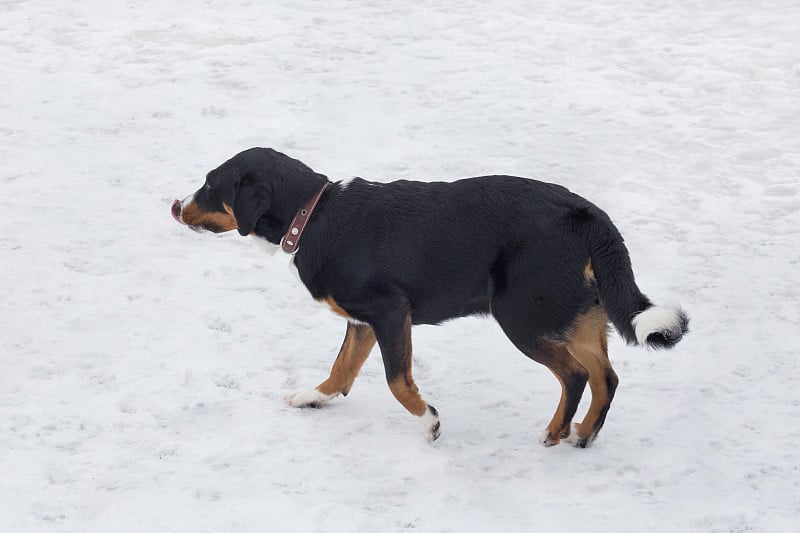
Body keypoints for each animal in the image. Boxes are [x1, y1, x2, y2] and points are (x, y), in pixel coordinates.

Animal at [173, 145, 688, 444]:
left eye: (210, 183)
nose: (176, 205)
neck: (313, 215)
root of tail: (587, 214)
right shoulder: (362, 321)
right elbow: (341, 370)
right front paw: (312, 398)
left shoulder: (389, 311)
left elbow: (397, 382)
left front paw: (430, 422)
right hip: (571, 312)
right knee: (606, 376)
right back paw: (583, 433)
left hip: (522, 314)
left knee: (577, 375)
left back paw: (556, 433)